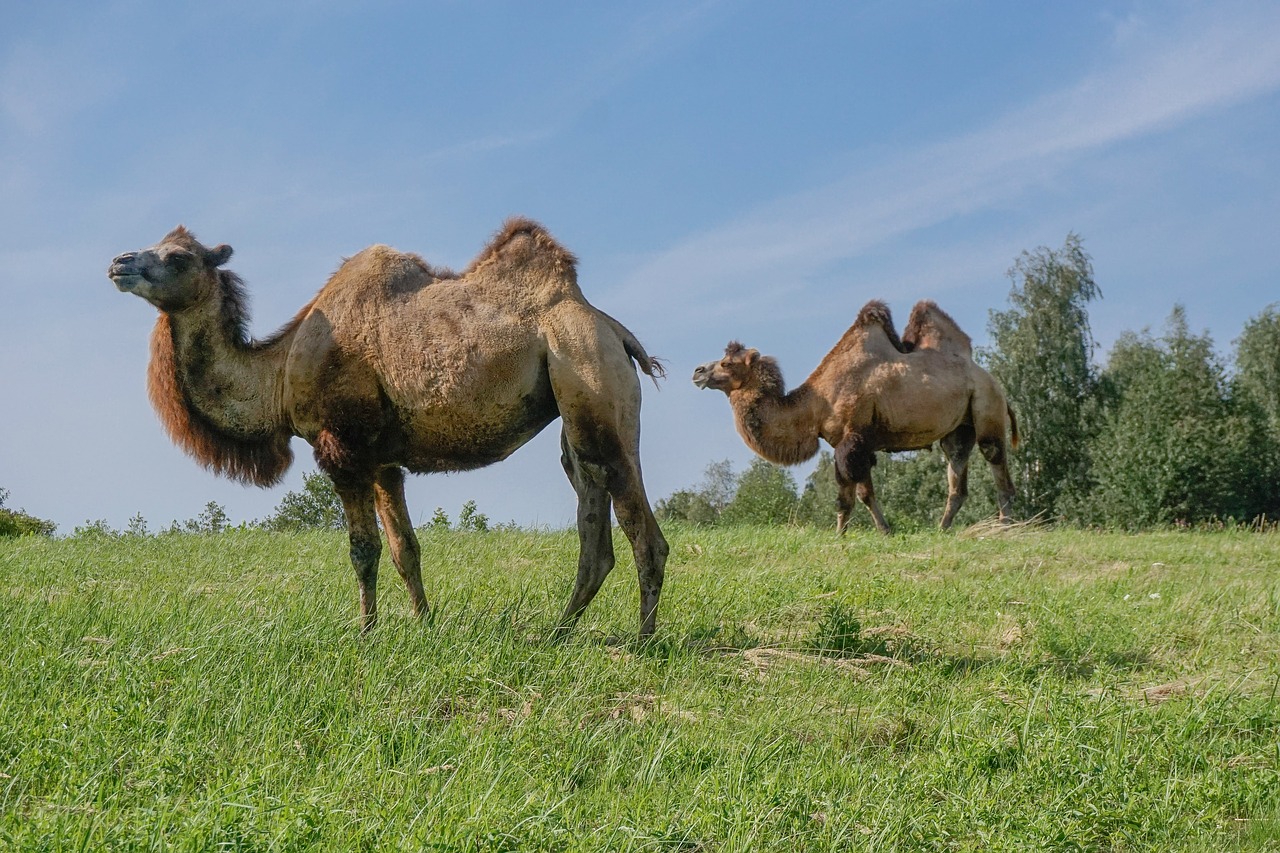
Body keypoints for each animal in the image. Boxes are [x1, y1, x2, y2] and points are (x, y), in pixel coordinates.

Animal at [107, 219, 670, 630]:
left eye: (178, 257)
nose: (119, 262)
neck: (279, 374)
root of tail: (611, 327)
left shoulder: (341, 447)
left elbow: (364, 549)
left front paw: (366, 631)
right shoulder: (382, 460)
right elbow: (406, 549)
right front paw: (424, 624)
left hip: (590, 374)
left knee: (640, 527)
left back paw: (641, 641)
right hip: (575, 409)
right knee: (592, 521)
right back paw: (558, 632)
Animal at [691, 300, 1018, 532]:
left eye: (727, 363)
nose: (697, 371)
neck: (815, 404)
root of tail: (992, 380)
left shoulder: (854, 437)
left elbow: (860, 493)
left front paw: (883, 530)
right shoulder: (842, 441)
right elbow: (846, 496)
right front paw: (841, 534)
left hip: (987, 404)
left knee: (994, 457)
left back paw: (1004, 525)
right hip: (959, 428)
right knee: (957, 471)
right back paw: (943, 528)